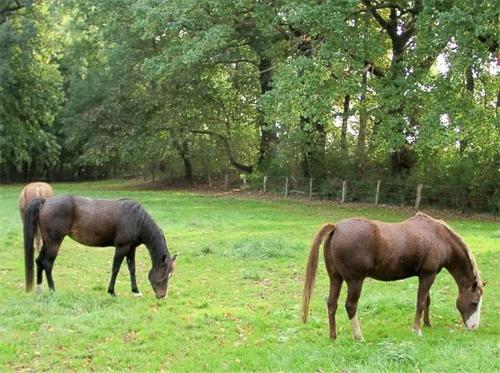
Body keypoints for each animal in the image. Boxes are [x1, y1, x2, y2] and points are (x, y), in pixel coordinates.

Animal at [23, 195, 177, 296]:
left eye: (170, 275)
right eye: (164, 274)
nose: (162, 295)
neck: (137, 219)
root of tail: (46, 201)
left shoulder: (131, 248)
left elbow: (132, 269)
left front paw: (135, 291)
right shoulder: (122, 247)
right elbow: (115, 269)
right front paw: (111, 292)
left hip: (47, 242)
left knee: (39, 261)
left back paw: (39, 289)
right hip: (54, 242)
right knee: (47, 263)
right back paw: (53, 290)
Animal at [300, 212, 484, 340]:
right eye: (474, 302)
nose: (474, 327)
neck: (438, 236)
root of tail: (336, 227)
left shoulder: (426, 276)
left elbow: (427, 301)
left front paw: (427, 324)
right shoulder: (427, 275)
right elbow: (421, 302)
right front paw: (417, 330)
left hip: (335, 278)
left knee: (332, 304)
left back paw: (333, 336)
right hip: (355, 281)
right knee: (350, 306)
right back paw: (359, 337)